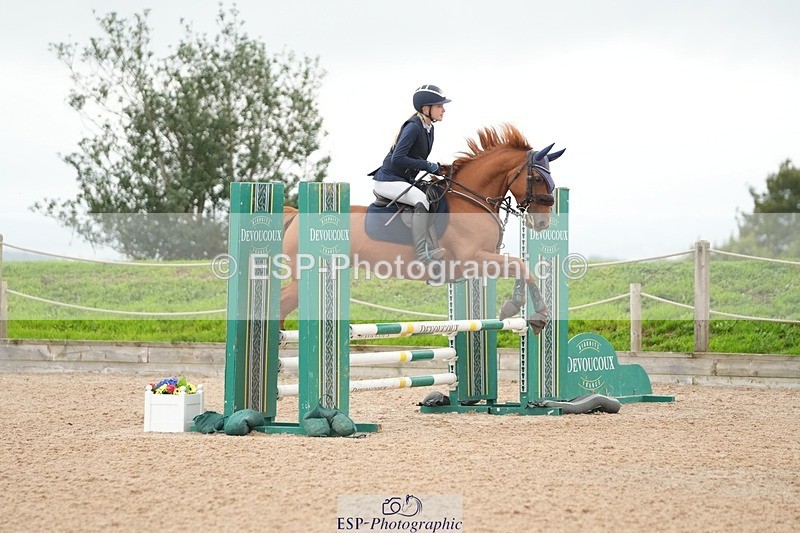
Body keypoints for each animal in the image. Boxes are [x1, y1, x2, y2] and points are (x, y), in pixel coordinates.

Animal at [279, 124, 564, 333]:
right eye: (537, 178)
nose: (542, 223)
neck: (471, 200)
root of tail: (296, 216)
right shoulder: (472, 258)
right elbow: (521, 265)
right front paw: (529, 311)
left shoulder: (481, 260)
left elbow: (521, 267)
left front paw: (520, 310)